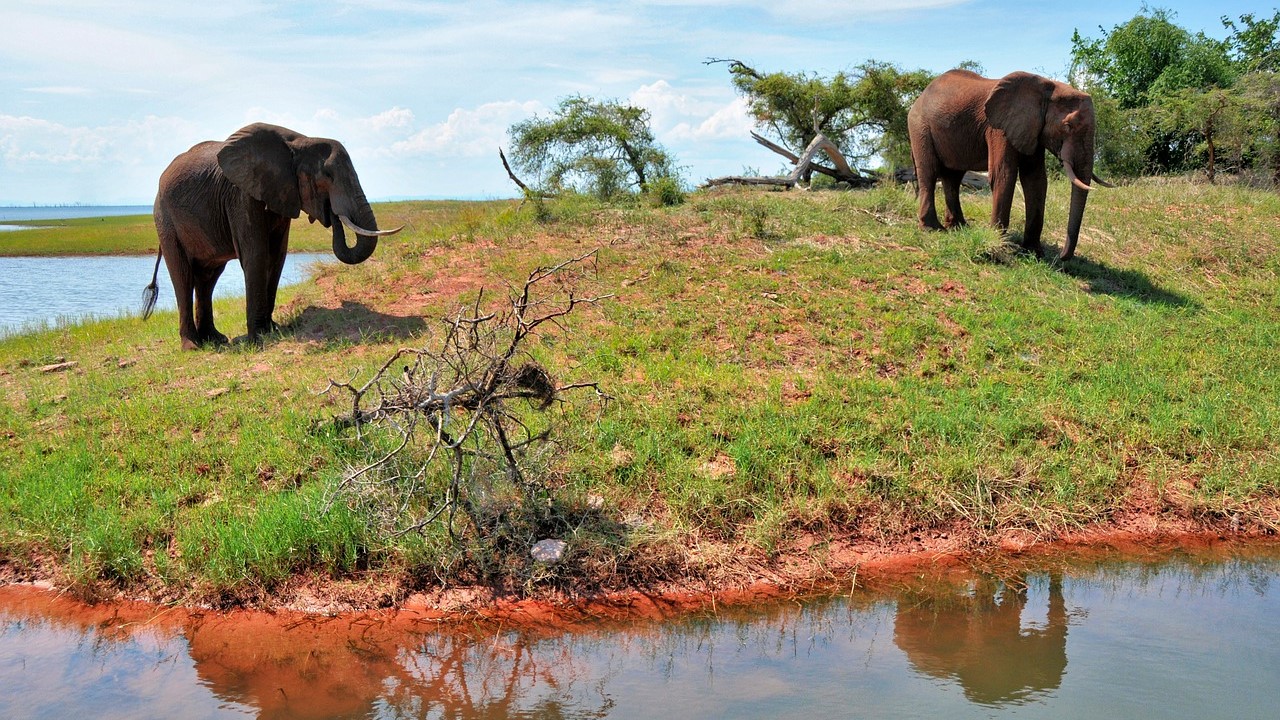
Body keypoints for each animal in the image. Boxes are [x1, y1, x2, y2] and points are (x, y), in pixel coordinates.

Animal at [143, 121, 399, 348]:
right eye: (327, 175)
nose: (333, 214)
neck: (300, 141)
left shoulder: (281, 193)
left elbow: (277, 256)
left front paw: (272, 330)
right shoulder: (241, 195)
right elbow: (257, 254)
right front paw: (258, 338)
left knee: (208, 278)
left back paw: (215, 340)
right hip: (165, 220)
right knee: (183, 276)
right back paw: (193, 346)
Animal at [911, 68, 1111, 258]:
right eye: (1068, 126)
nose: (1061, 256)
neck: (1047, 87)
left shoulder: (1032, 129)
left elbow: (1036, 180)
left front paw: (1034, 253)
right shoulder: (999, 128)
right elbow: (1003, 173)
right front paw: (1000, 245)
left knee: (953, 177)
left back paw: (959, 227)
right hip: (920, 127)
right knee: (929, 172)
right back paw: (932, 229)